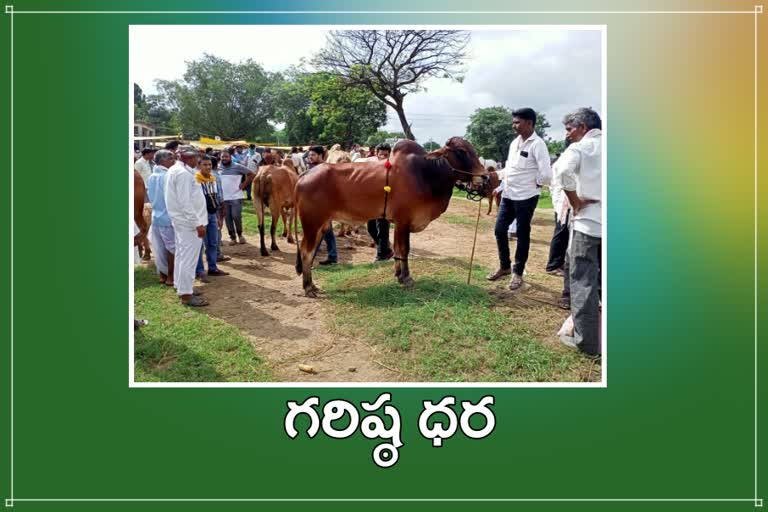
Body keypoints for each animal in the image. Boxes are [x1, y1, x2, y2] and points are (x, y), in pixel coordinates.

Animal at [294, 137, 486, 296]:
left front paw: (398, 275)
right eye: (461, 151)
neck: (425, 174)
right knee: (306, 251)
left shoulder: (399, 223)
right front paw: (406, 278)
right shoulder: (404, 221)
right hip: (312, 223)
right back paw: (308, 288)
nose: (484, 176)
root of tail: (304, 175)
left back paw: (312, 285)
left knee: (309, 251)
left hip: (322, 225)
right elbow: (404, 249)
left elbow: (399, 250)